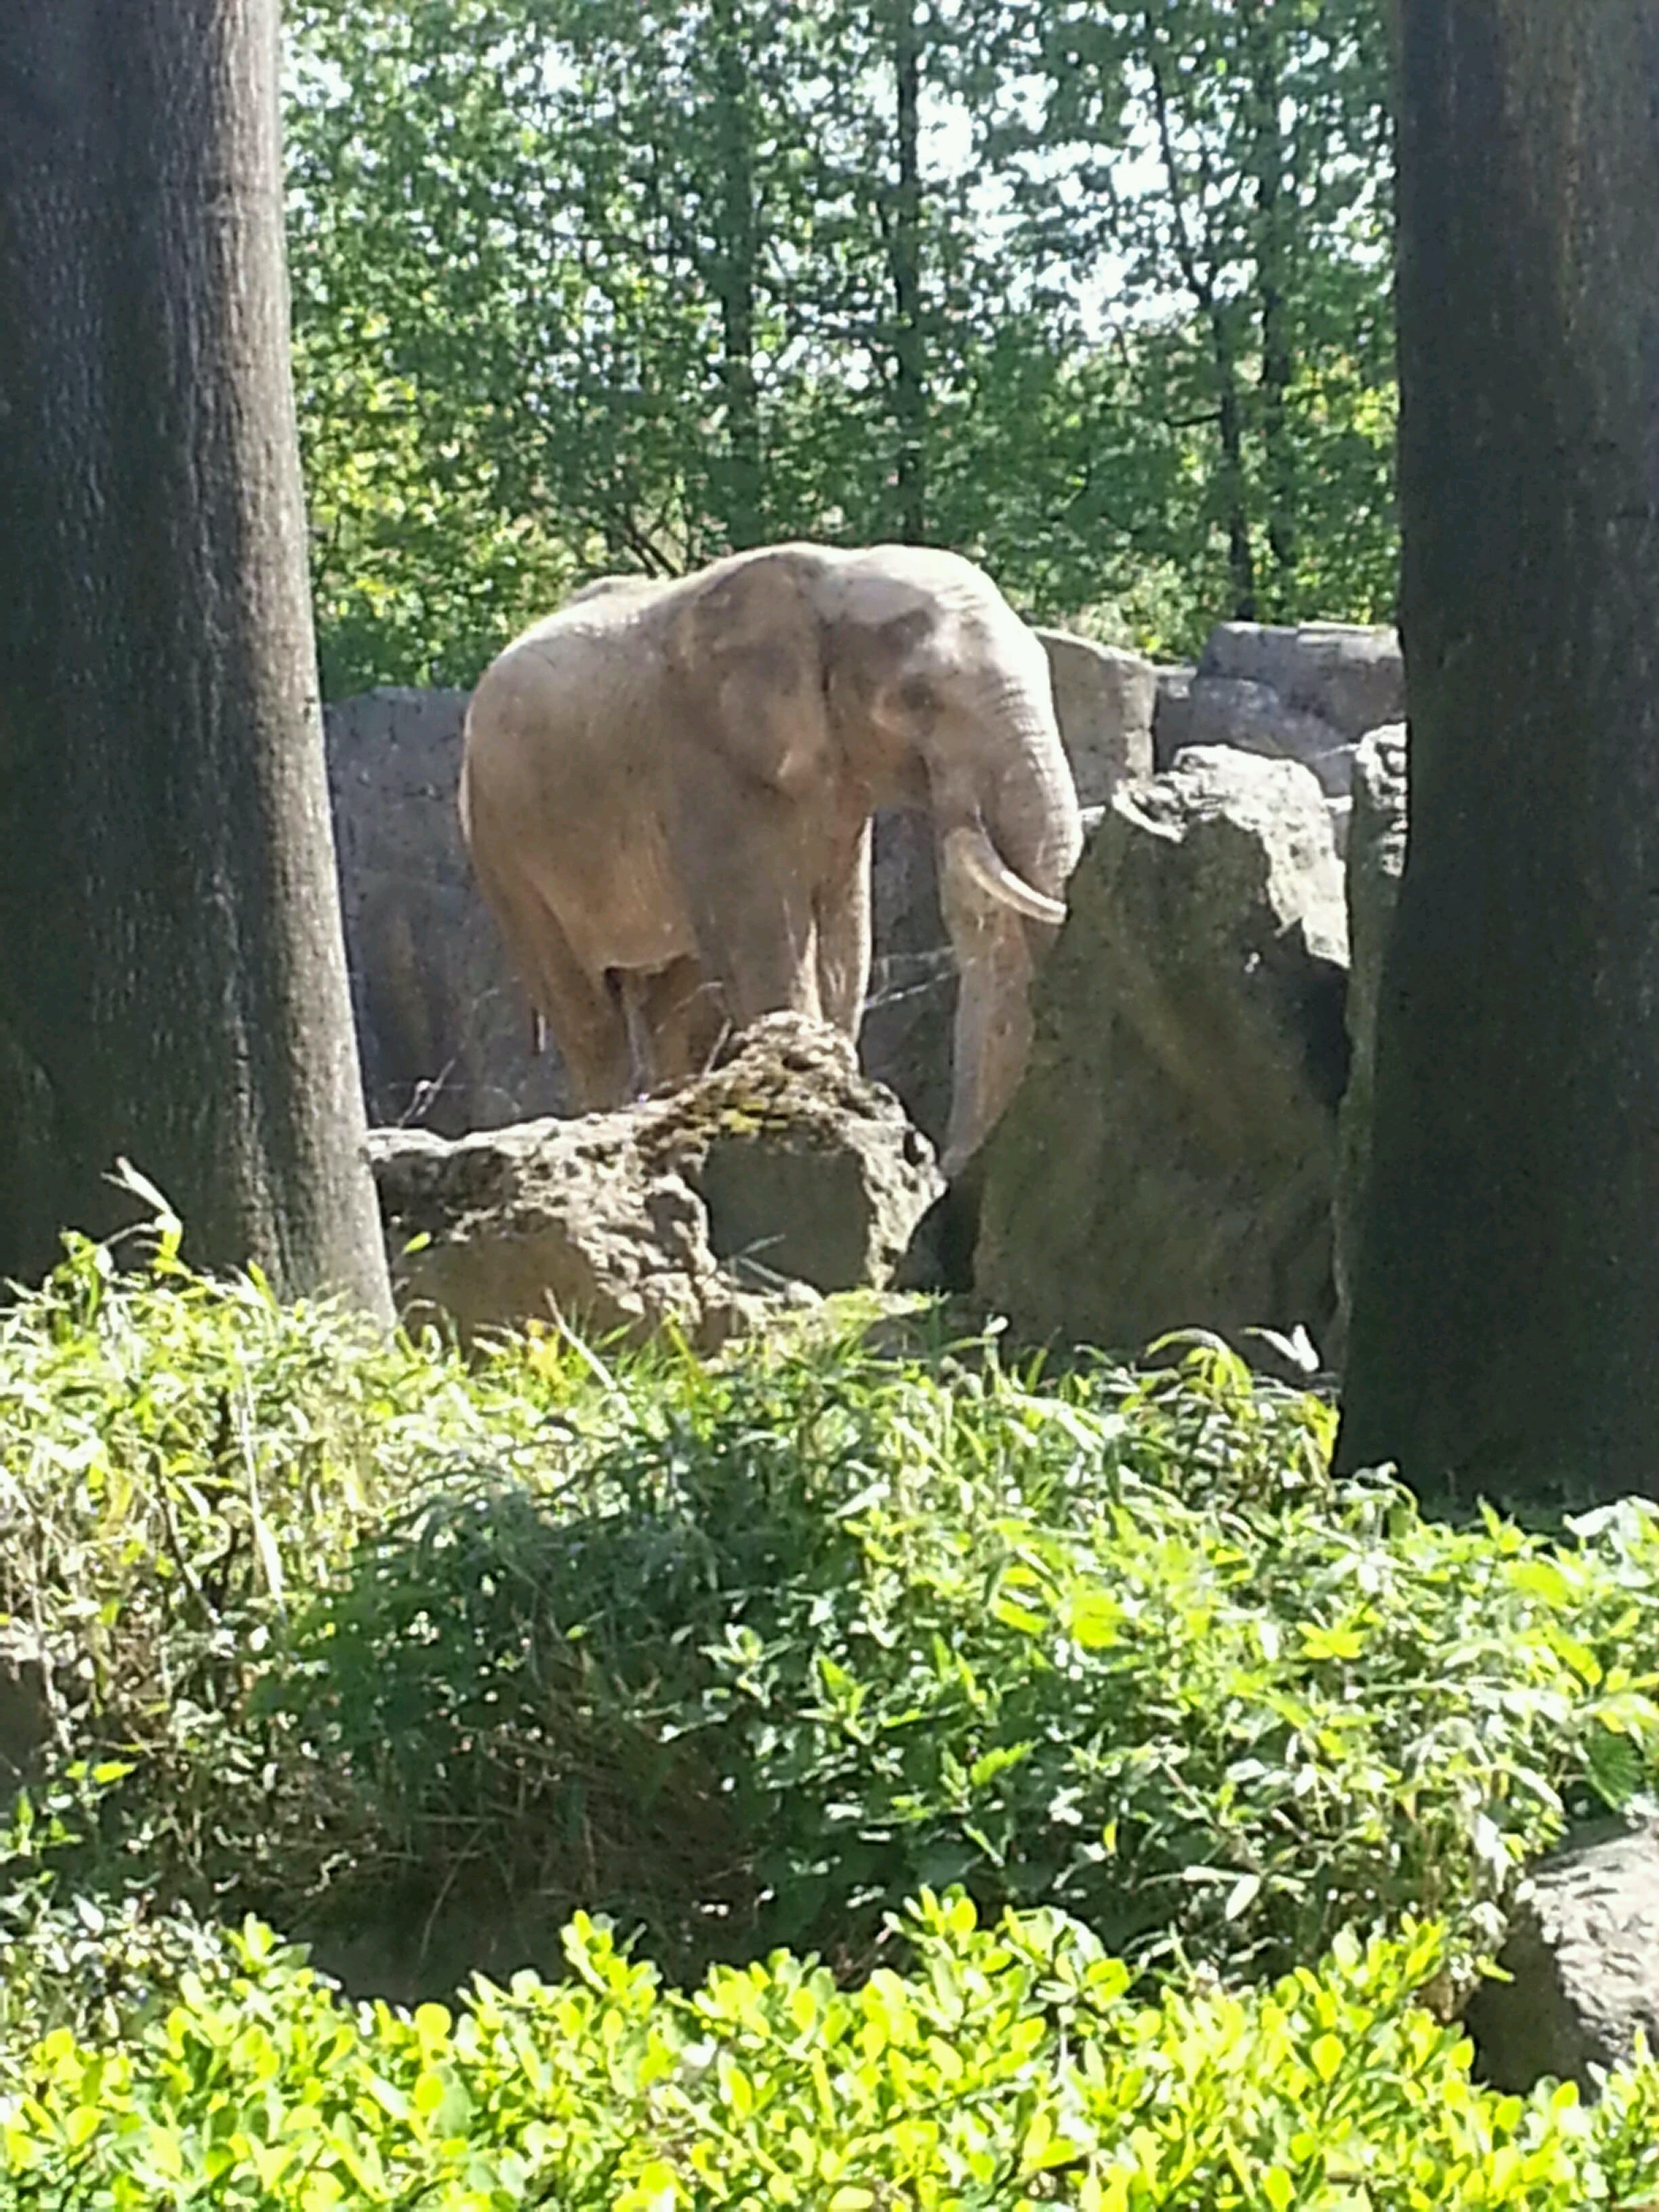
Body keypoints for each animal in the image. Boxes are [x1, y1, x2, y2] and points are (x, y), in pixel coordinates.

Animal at [462, 539, 1084, 1176]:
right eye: (918, 698)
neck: (836, 571)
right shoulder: (703, 761)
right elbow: (768, 945)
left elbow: (844, 946)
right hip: (500, 840)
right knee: (589, 1018)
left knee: (678, 1010)